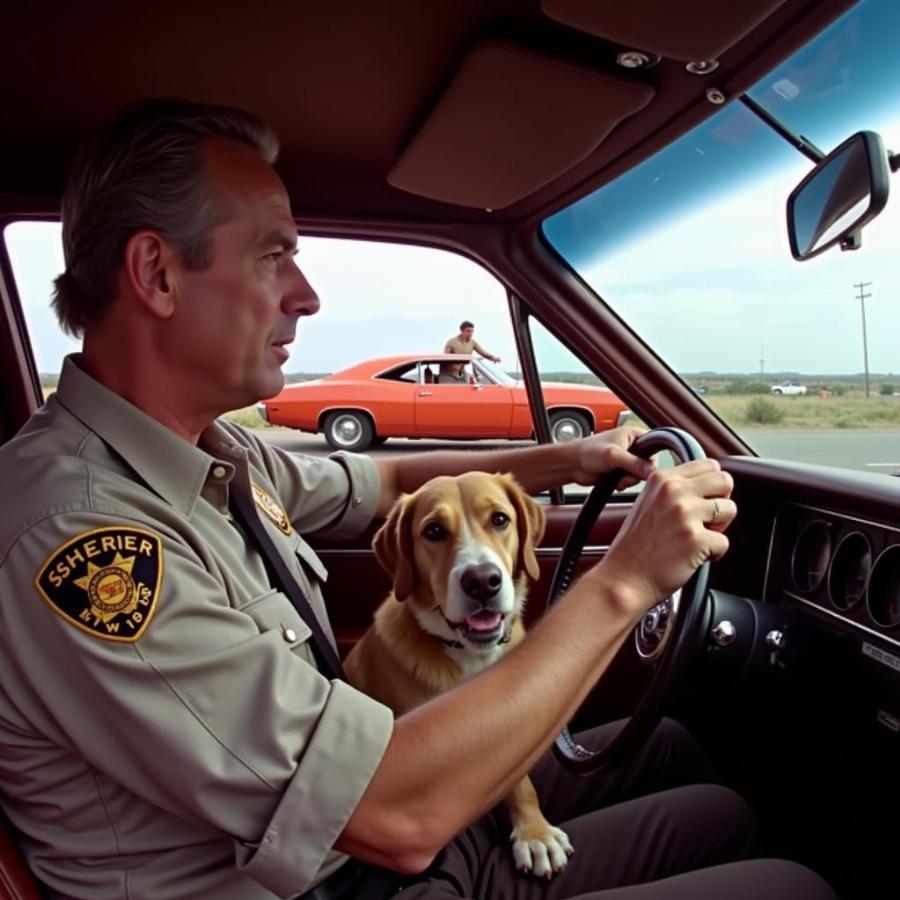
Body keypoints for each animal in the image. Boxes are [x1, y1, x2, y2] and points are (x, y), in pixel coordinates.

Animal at [342, 472, 572, 880]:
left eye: (500, 519)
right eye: (433, 531)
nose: (482, 580)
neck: (471, 655)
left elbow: (520, 779)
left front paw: (535, 832)